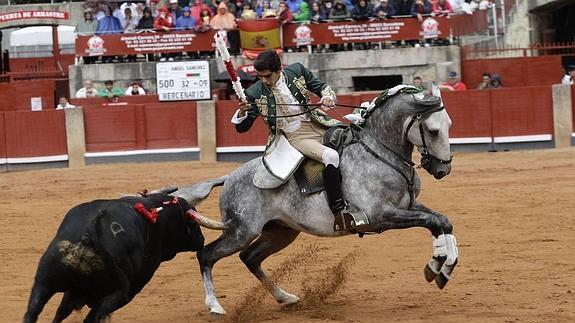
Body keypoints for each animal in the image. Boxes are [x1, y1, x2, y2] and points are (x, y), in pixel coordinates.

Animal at [23, 194, 206, 322]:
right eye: (193, 223)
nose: (202, 239)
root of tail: (90, 233)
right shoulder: (133, 288)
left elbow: (61, 311)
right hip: (117, 293)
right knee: (93, 318)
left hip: (43, 282)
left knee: (33, 312)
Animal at [178, 88, 462, 316]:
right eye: (433, 130)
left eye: (450, 124)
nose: (442, 169)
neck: (379, 152)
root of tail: (229, 178)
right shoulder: (381, 215)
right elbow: (433, 222)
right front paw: (437, 266)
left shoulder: (407, 207)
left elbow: (442, 221)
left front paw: (442, 268)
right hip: (241, 231)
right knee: (207, 255)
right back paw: (215, 306)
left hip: (280, 232)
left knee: (250, 257)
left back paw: (286, 297)